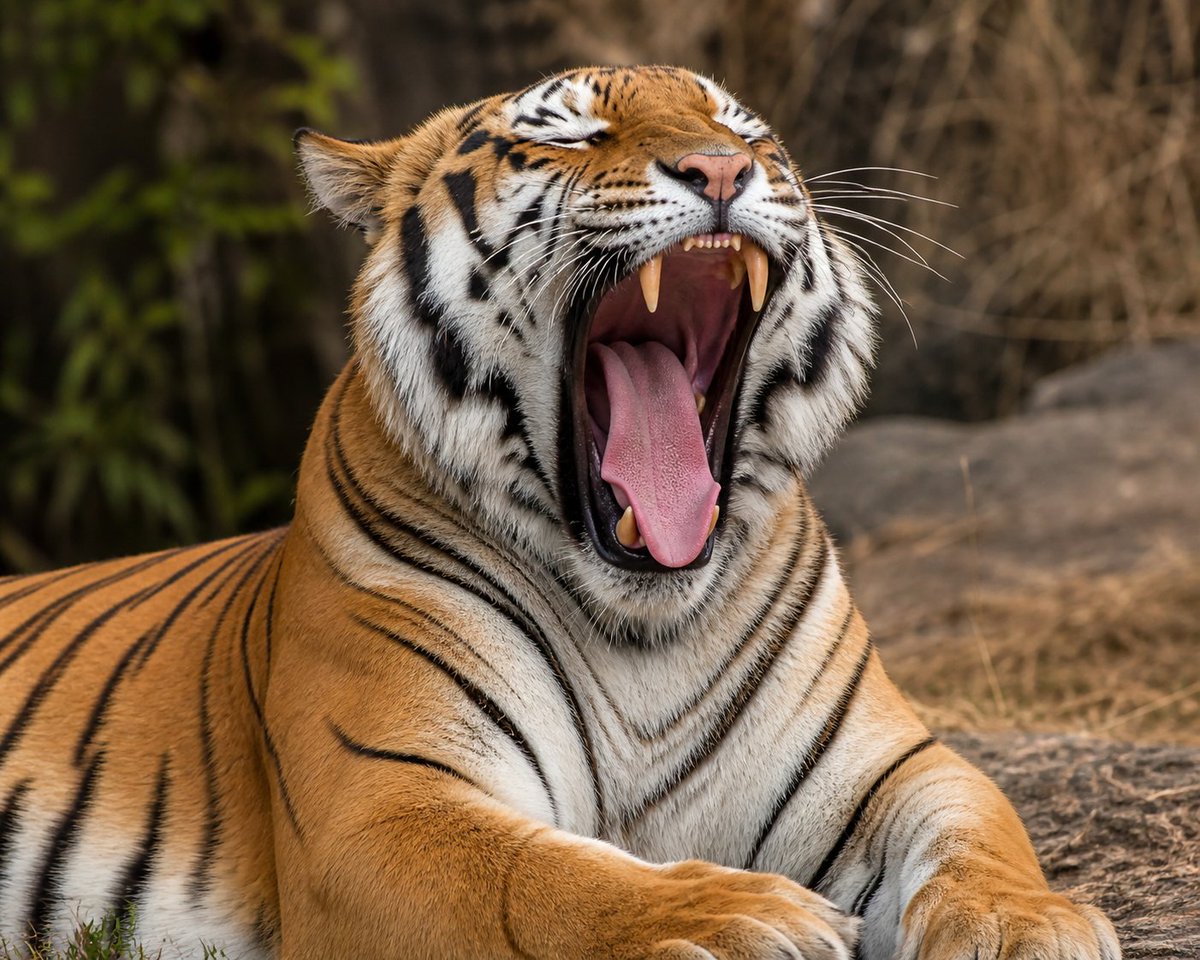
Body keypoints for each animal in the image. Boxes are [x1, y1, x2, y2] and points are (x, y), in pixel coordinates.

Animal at [0, 65, 1119, 960]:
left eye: (748, 133)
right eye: (574, 135)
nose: (721, 171)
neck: (646, 621)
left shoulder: (888, 764)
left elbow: (980, 825)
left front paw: (1026, 922)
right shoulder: (380, 804)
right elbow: (543, 880)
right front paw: (736, 916)